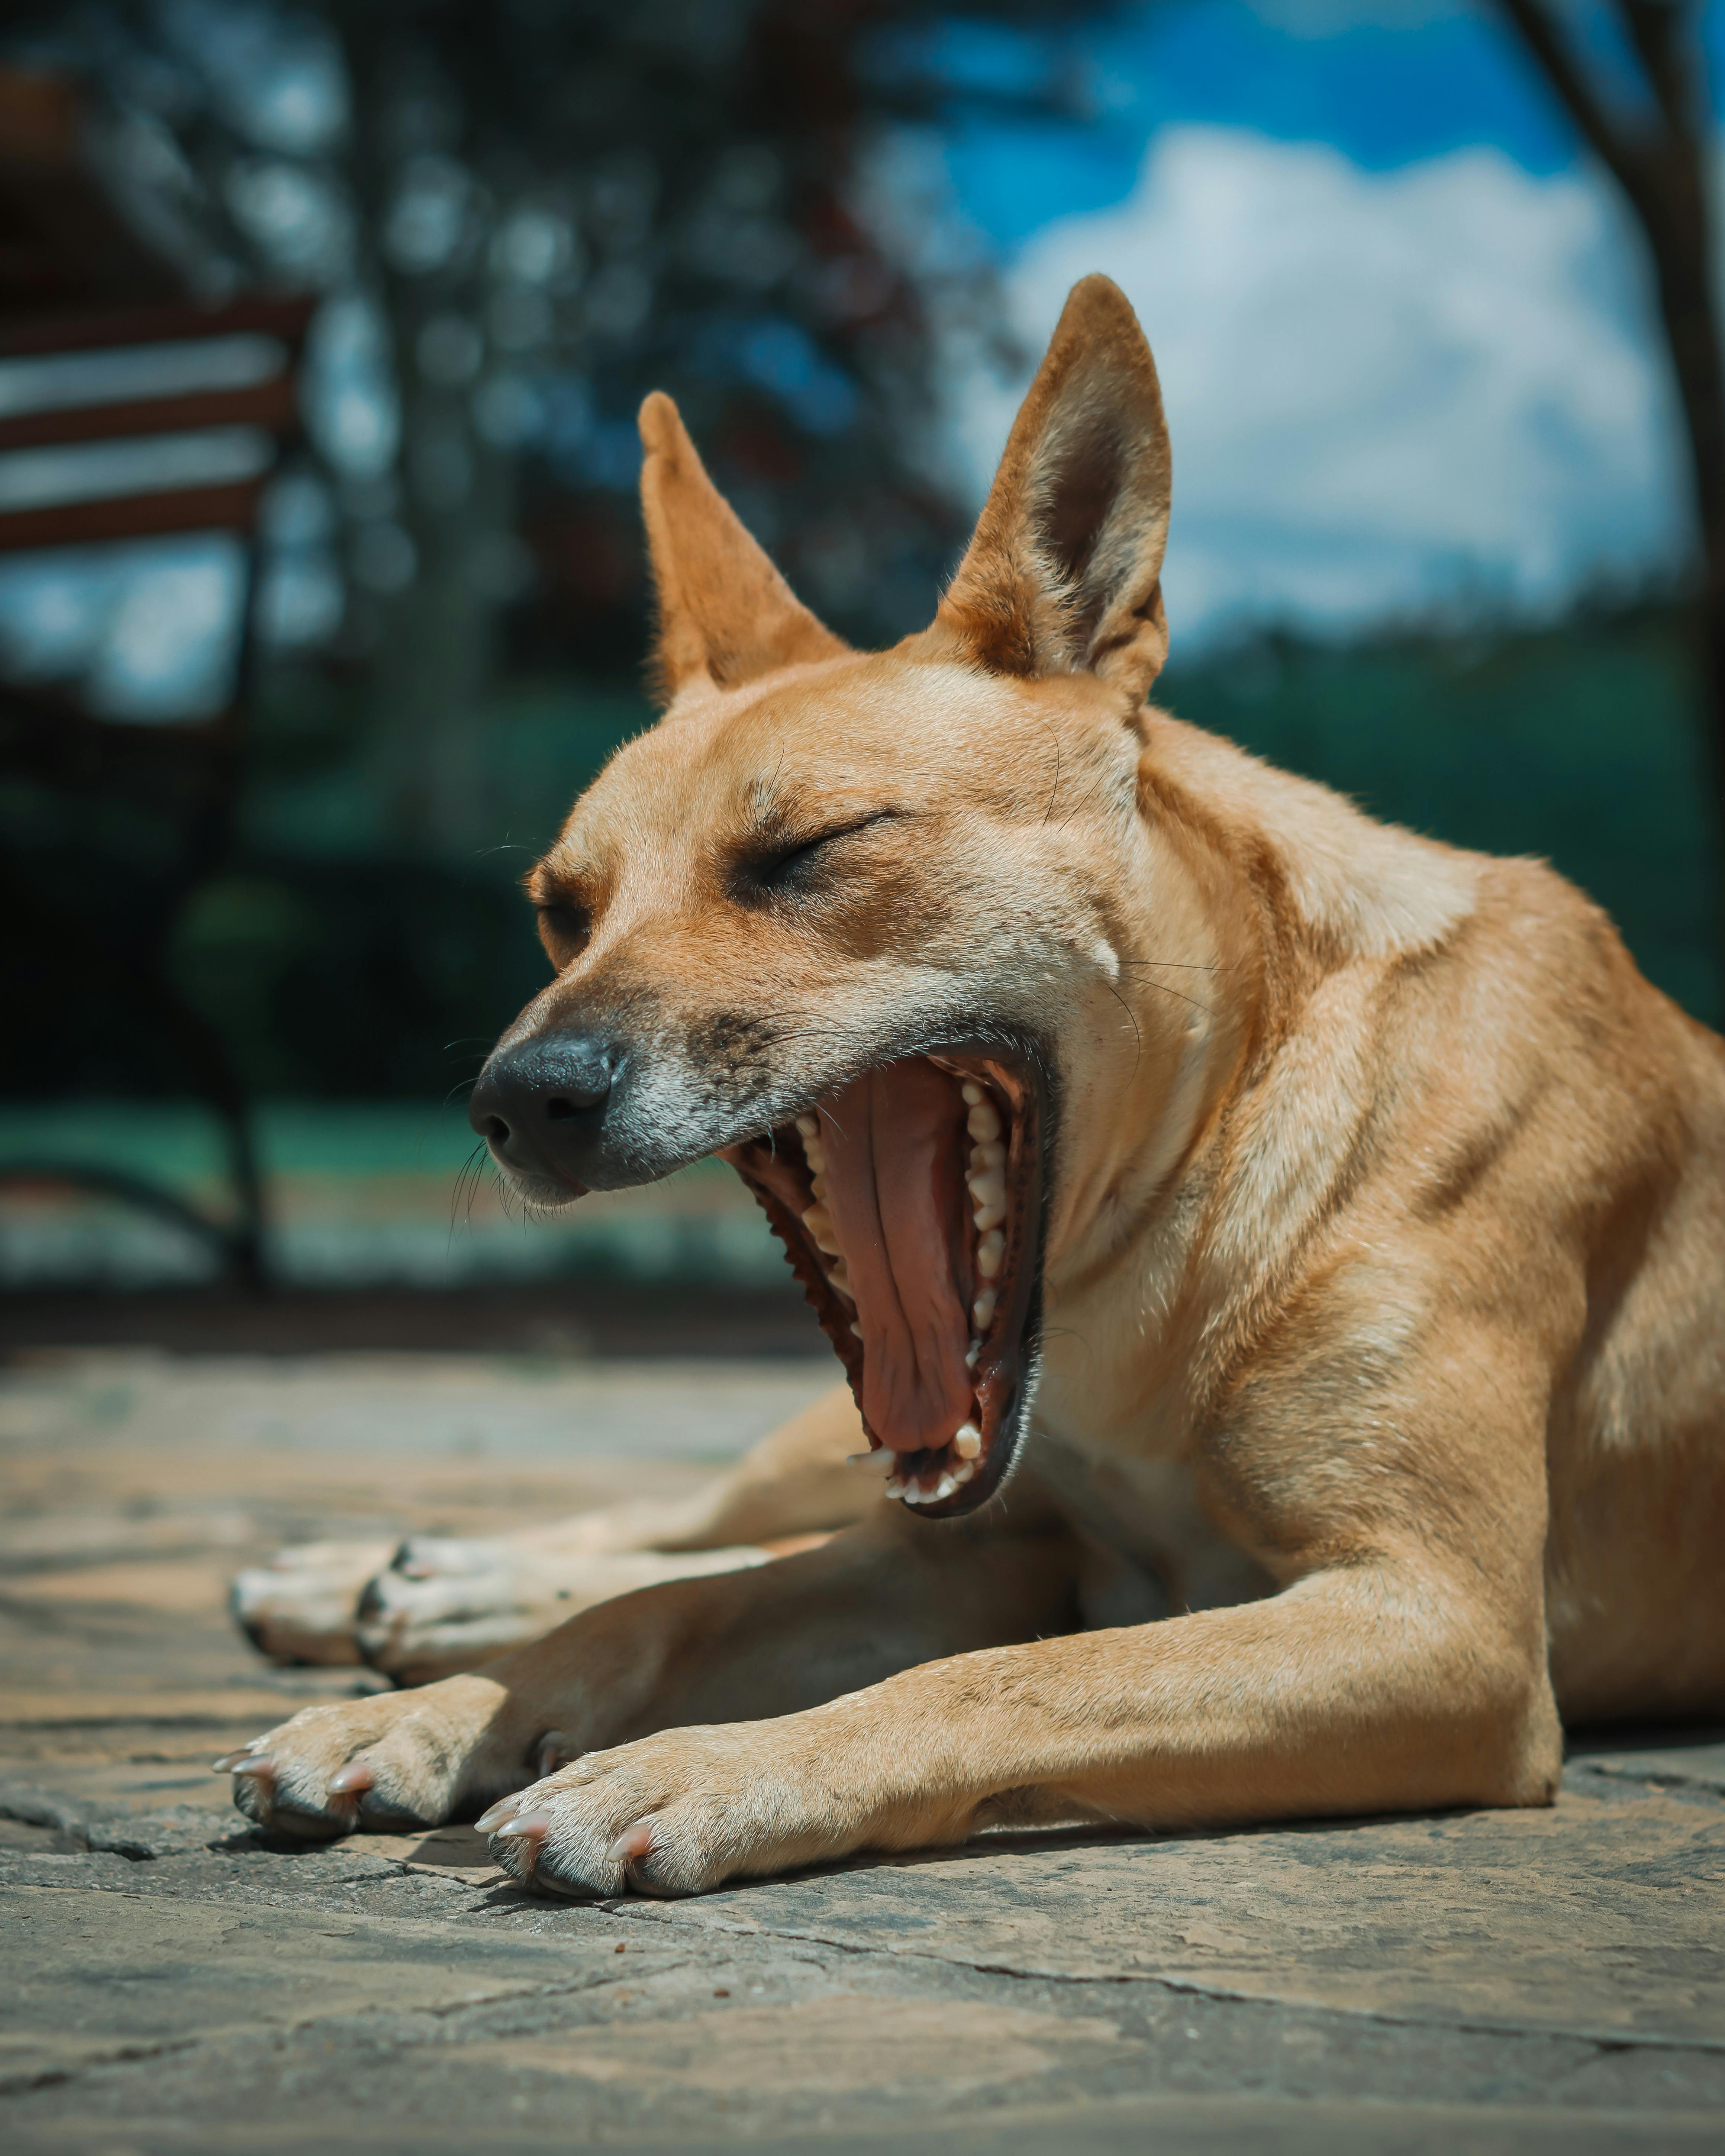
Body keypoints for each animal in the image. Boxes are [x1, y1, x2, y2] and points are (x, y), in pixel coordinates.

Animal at [225, 278, 1725, 1897]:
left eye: (812, 849)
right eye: (562, 911)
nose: (521, 1103)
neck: (1194, 1196)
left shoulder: (1437, 1620)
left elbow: (1005, 1678)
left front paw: (703, 1768)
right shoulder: (985, 1542)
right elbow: (661, 1611)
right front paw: (453, 1705)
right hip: (812, 1452)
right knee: (699, 1524)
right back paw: (395, 1588)